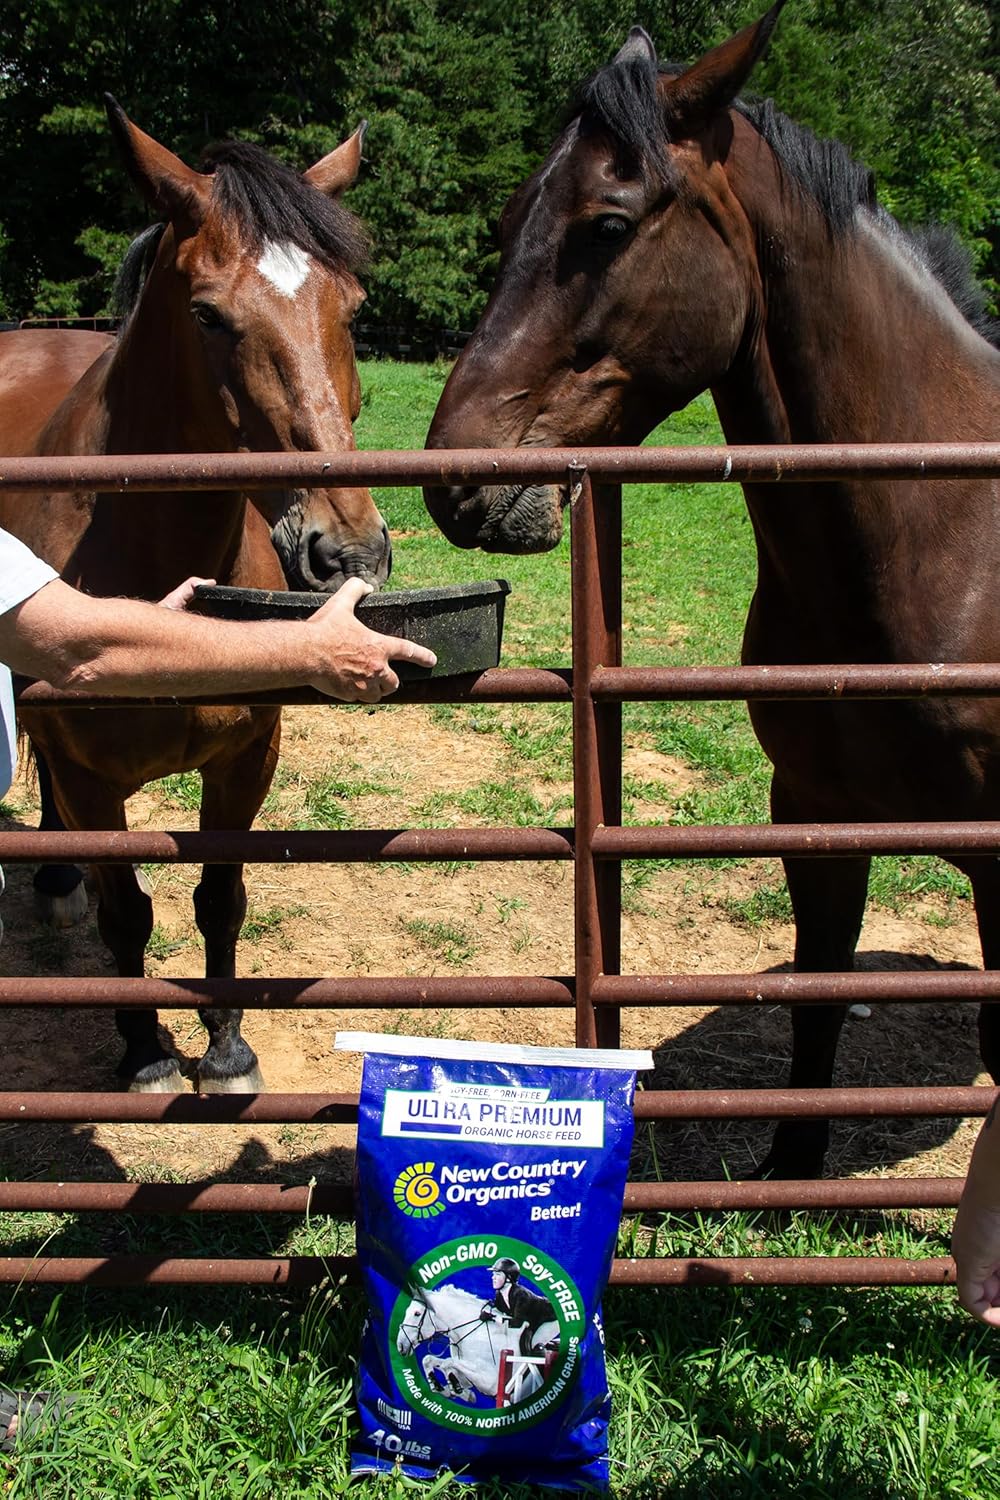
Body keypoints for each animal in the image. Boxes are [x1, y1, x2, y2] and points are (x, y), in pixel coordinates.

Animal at [0, 99, 392, 1093]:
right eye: (209, 315)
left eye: (352, 308)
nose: (348, 550)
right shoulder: (93, 780)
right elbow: (129, 913)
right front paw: (145, 1054)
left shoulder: (246, 760)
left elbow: (220, 899)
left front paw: (226, 1050)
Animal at [396, 1283, 556, 1406]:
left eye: (417, 1313)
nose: (400, 1346)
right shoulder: (469, 1375)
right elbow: (430, 1359)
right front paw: (445, 1389)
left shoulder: (490, 1382)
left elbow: (448, 1363)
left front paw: (459, 1391)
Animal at [422, 2, 1000, 1177]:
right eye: (506, 224)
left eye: (606, 224)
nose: (457, 483)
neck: (943, 535)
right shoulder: (814, 811)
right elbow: (818, 995)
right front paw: (788, 1179)